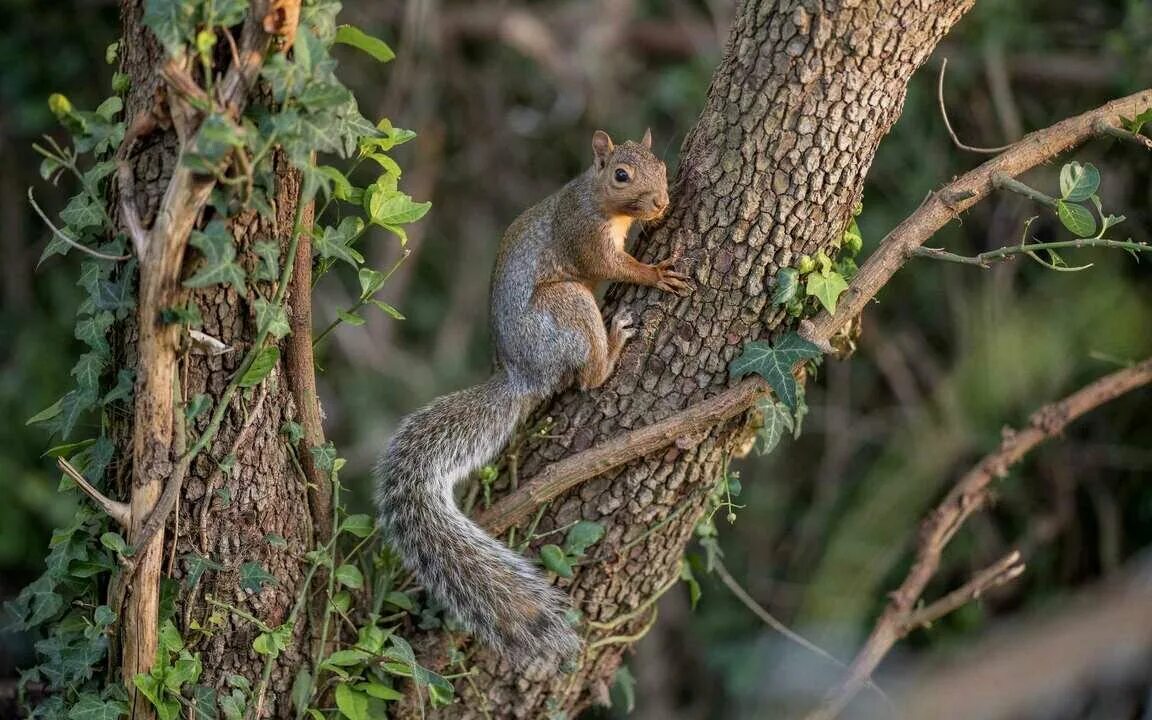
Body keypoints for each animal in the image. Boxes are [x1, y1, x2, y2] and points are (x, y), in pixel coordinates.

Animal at [373, 129, 686, 668]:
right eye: (621, 175)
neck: (594, 197)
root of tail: (523, 374)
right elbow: (610, 265)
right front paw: (653, 272)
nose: (661, 201)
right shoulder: (582, 234)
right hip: (566, 304)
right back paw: (613, 346)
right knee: (589, 378)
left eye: (661, 166)